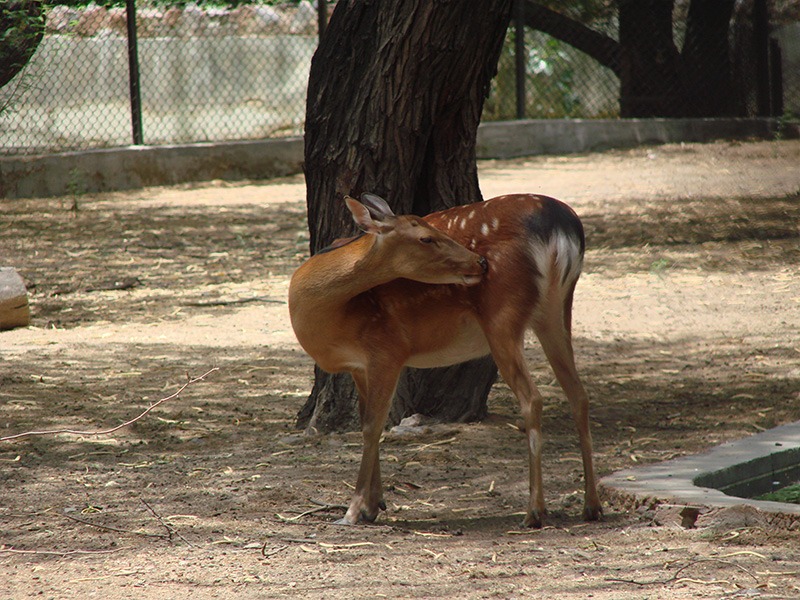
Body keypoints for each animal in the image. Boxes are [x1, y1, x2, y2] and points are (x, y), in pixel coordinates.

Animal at [288, 192, 600, 524]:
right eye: (426, 237)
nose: (480, 262)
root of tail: (560, 226)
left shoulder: (388, 347)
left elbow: (373, 426)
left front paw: (354, 510)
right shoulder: (360, 365)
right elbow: (365, 420)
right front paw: (374, 504)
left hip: (502, 318)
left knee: (533, 399)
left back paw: (534, 511)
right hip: (556, 311)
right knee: (579, 394)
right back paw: (591, 505)